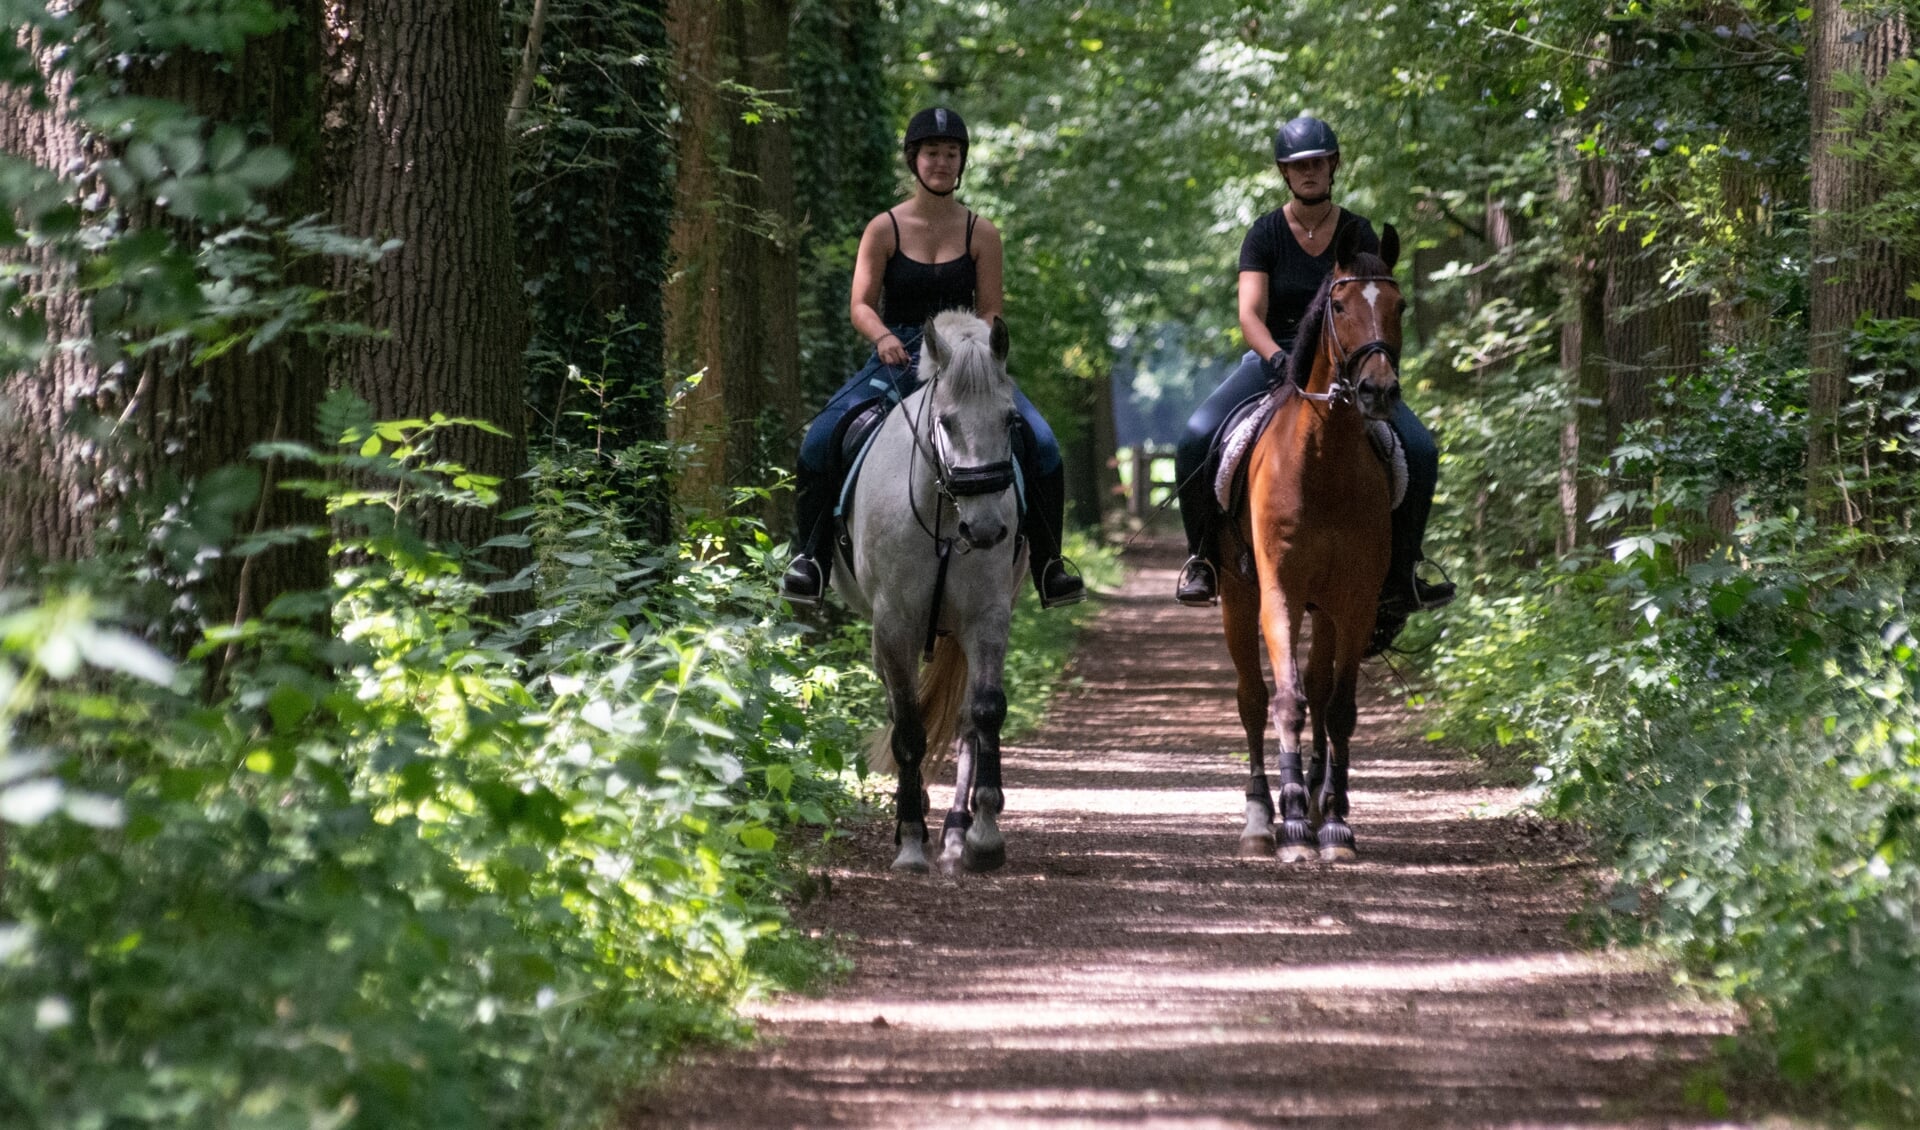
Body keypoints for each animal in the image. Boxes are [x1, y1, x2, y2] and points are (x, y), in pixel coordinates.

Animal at [833, 308, 1029, 871]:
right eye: (946, 422)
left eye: (1011, 421)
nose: (984, 530)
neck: (944, 512)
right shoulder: (893, 623)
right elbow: (908, 726)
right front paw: (910, 839)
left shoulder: (988, 616)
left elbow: (984, 712)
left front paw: (984, 835)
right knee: (902, 711)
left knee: (964, 720)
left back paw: (959, 829)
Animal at [1221, 220, 1405, 859]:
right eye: (1340, 305)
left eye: (1400, 305)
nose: (1377, 391)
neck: (1322, 462)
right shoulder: (1278, 591)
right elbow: (1287, 701)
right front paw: (1295, 819)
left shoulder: (1354, 598)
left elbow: (1339, 707)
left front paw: (1336, 824)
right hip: (1237, 597)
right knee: (1253, 698)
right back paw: (1260, 817)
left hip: (1324, 609)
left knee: (1323, 693)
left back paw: (1326, 799)